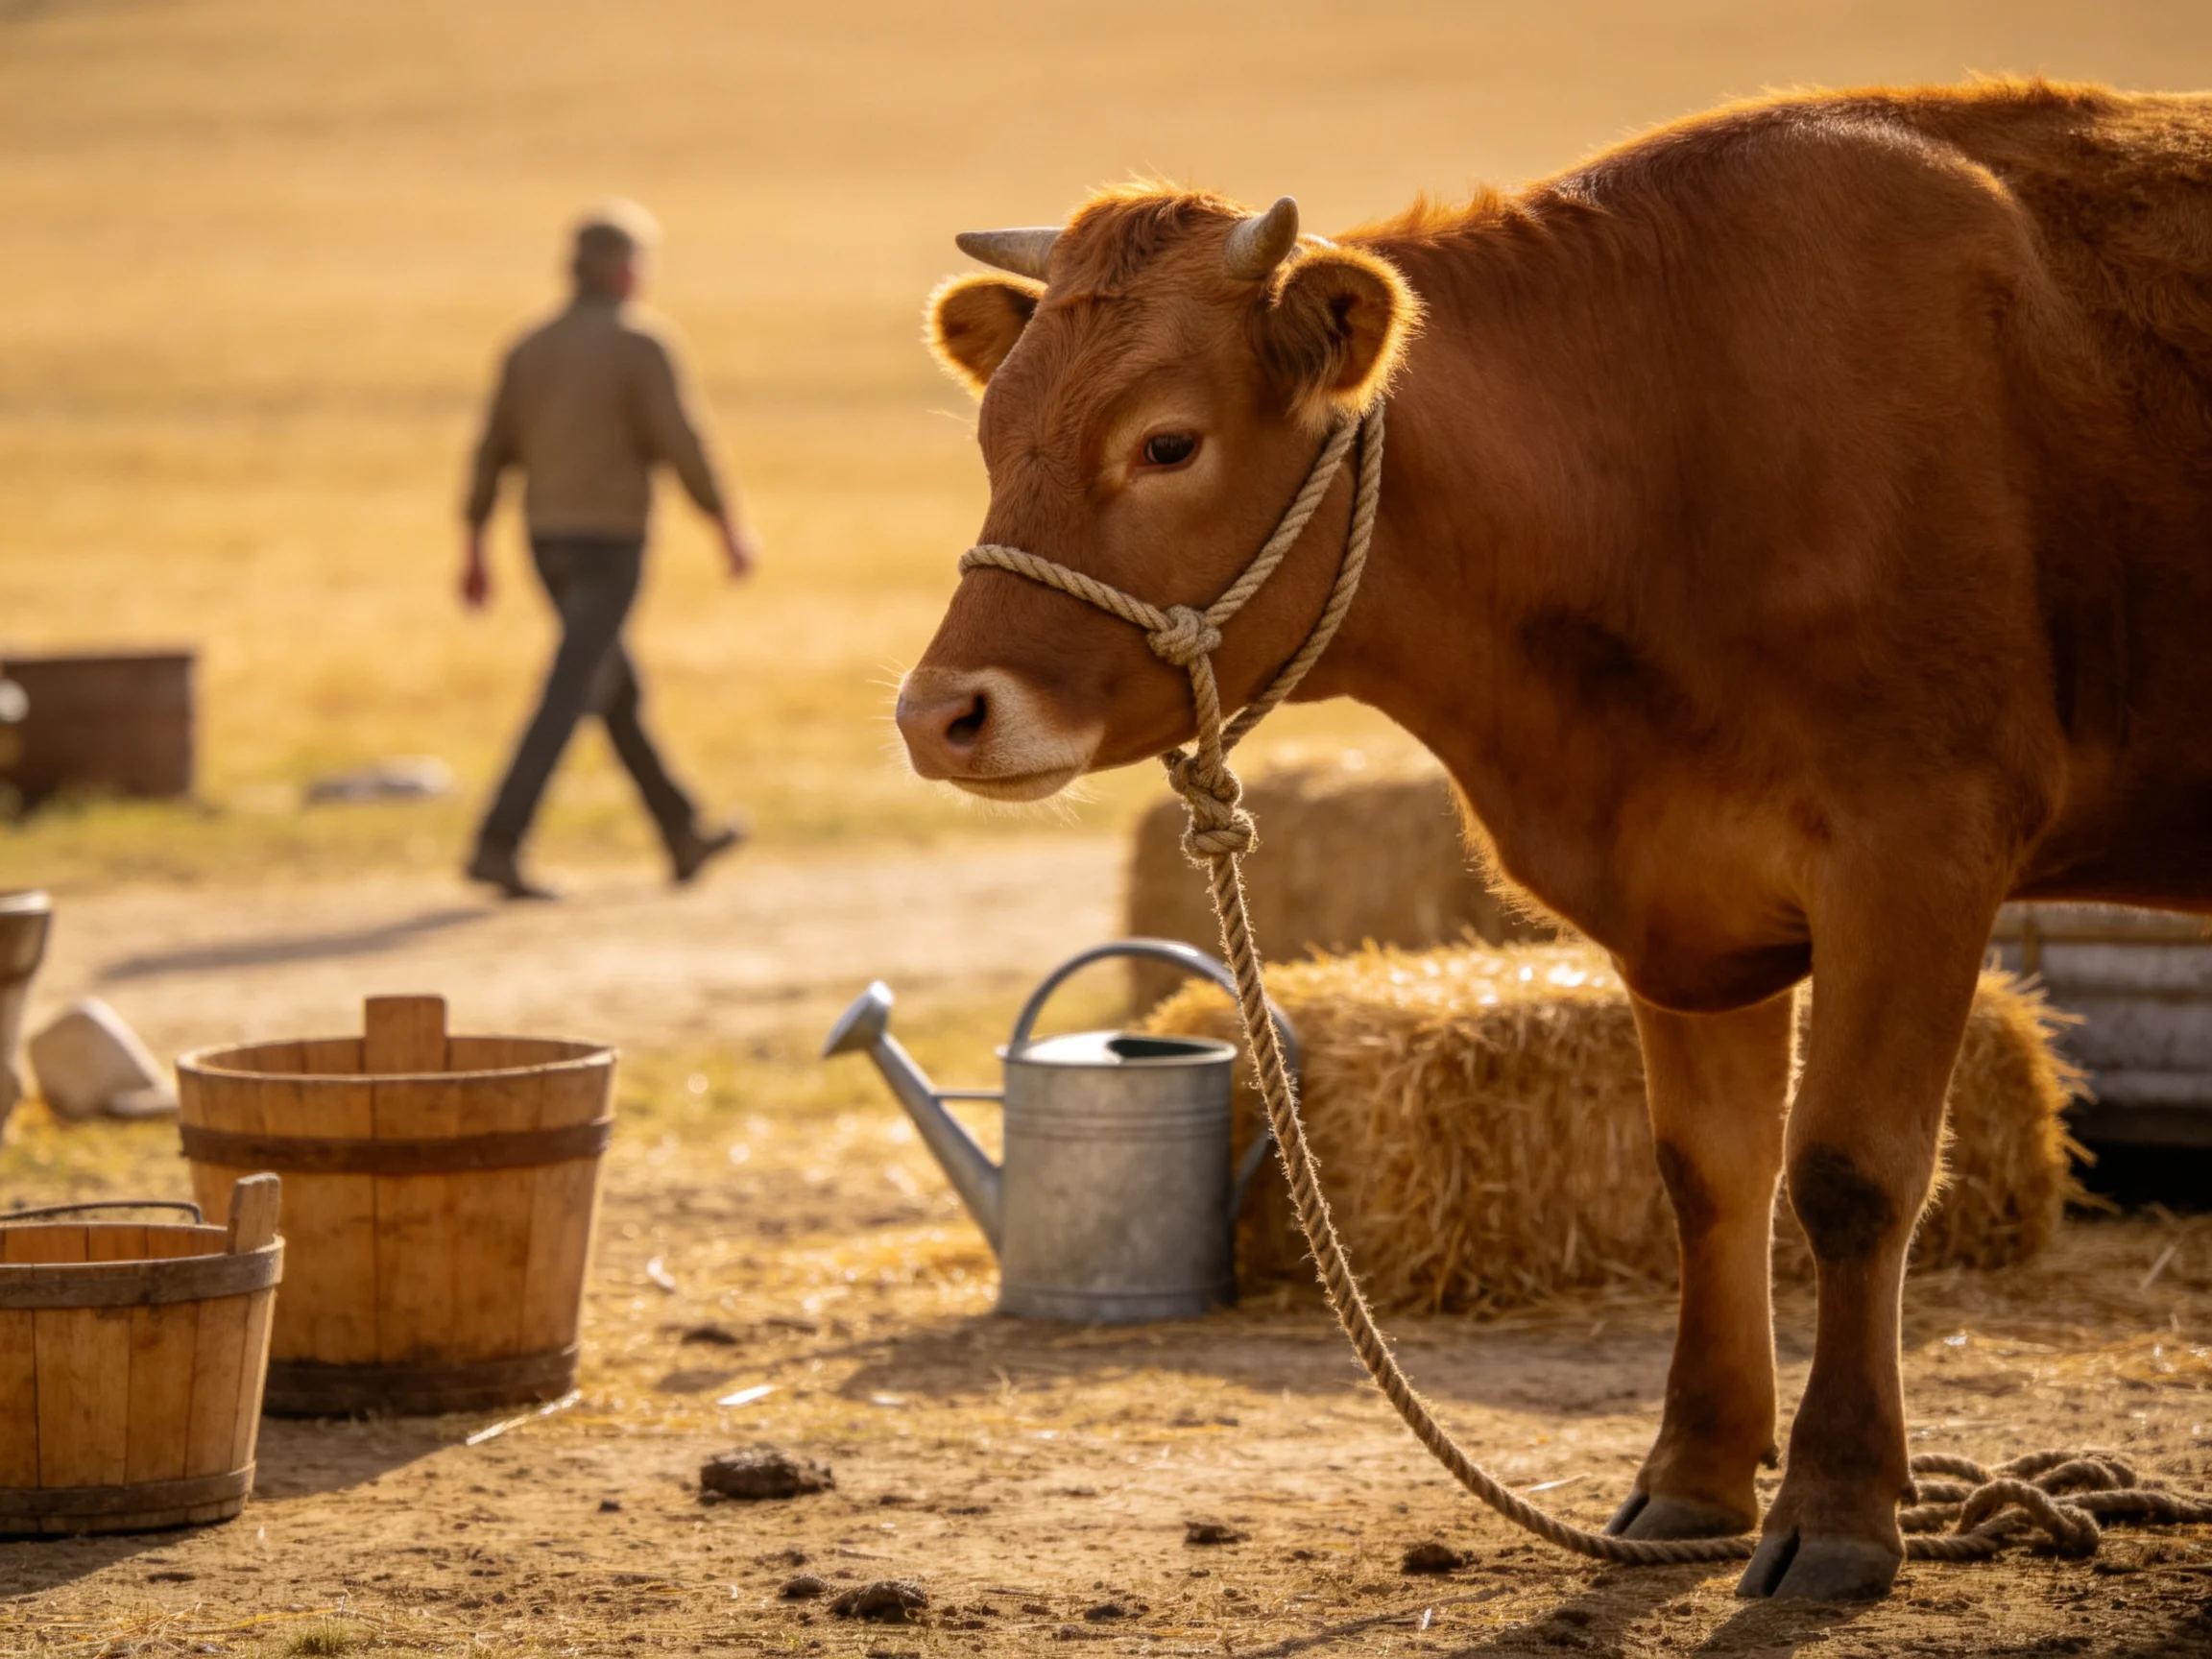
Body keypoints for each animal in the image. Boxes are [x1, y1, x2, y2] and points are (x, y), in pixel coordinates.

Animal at [894, 79, 2212, 1600]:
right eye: (993, 437)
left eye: (1167, 442)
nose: (940, 715)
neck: (1666, 451)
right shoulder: (1689, 897)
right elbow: (1709, 1176)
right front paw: (1696, 1479)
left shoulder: (1922, 846)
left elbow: (1852, 1174)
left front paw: (1834, 1506)